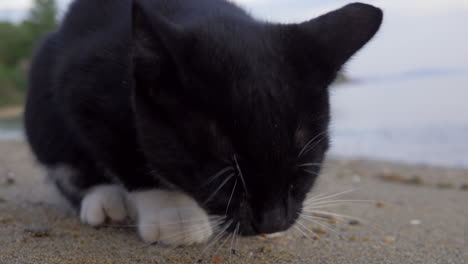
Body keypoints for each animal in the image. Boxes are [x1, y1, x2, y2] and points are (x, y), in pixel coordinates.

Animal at [24, 0, 380, 244]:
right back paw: (104, 200)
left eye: (306, 171)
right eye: (223, 180)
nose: (273, 222)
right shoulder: (83, 85)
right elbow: (126, 154)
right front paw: (174, 215)